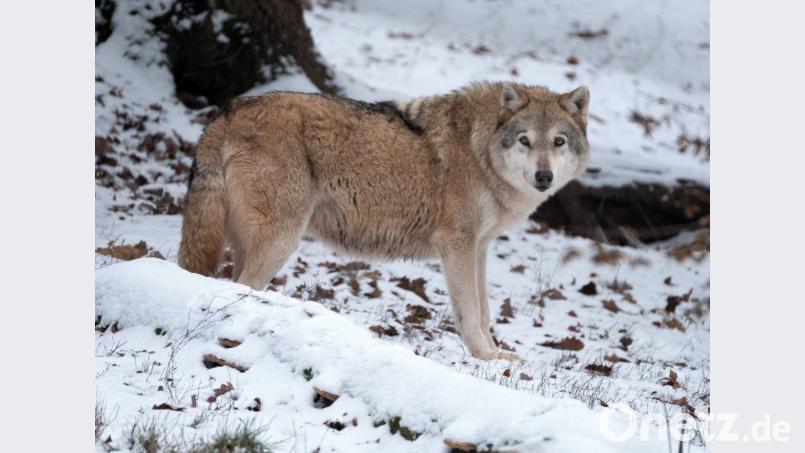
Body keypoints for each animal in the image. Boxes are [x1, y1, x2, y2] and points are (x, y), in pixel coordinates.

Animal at [178, 82, 590, 361]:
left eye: (558, 142)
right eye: (524, 140)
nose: (543, 177)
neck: (480, 150)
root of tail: (225, 113)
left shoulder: (480, 248)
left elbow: (486, 310)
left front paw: (495, 354)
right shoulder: (456, 244)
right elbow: (471, 312)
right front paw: (486, 359)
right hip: (281, 240)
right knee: (240, 286)